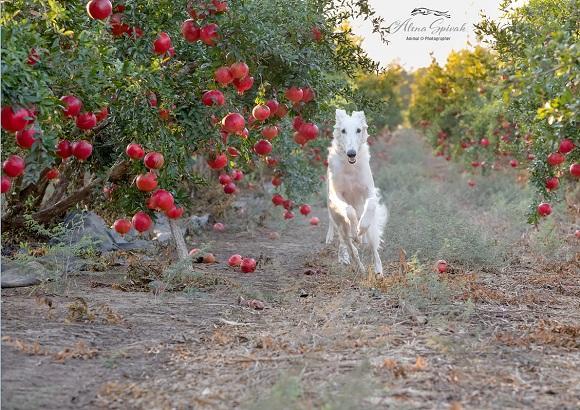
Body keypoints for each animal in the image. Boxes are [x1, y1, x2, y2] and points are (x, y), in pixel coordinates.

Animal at [324, 108, 388, 276]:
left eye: (358, 130)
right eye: (343, 131)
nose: (351, 153)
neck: (350, 169)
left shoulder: (369, 192)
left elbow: (370, 205)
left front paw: (361, 228)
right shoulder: (337, 196)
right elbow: (349, 210)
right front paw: (355, 231)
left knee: (373, 249)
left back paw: (378, 271)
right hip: (339, 223)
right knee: (350, 247)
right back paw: (357, 265)